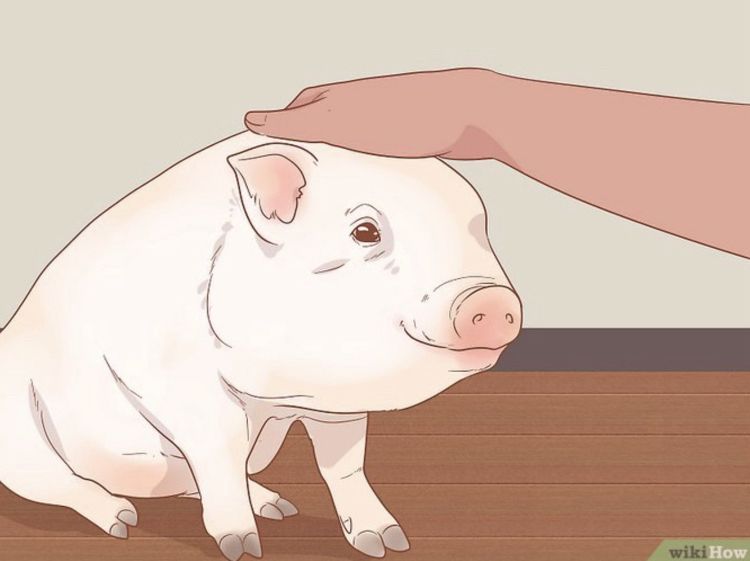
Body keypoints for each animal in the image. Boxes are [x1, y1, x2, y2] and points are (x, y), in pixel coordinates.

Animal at [0, 130, 522, 559]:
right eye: (365, 231)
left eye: (480, 230)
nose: (493, 301)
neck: (279, 399)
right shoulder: (183, 387)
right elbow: (221, 452)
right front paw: (242, 549)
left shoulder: (338, 409)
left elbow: (344, 465)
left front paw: (387, 543)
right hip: (18, 432)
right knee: (59, 483)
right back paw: (121, 520)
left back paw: (278, 505)